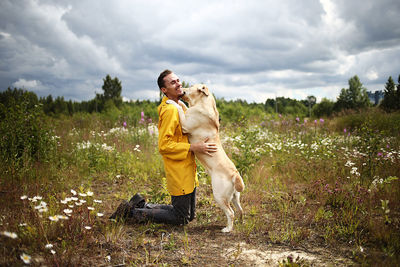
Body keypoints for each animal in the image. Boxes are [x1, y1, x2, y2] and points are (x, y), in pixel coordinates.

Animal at [166, 84, 244, 232]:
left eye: (190, 86)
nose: (182, 89)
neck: (201, 103)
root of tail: (234, 174)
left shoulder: (185, 124)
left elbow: (179, 108)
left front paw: (171, 101)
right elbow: (183, 106)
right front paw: (179, 102)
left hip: (219, 195)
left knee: (230, 213)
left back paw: (227, 229)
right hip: (235, 196)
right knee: (240, 210)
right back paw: (239, 223)